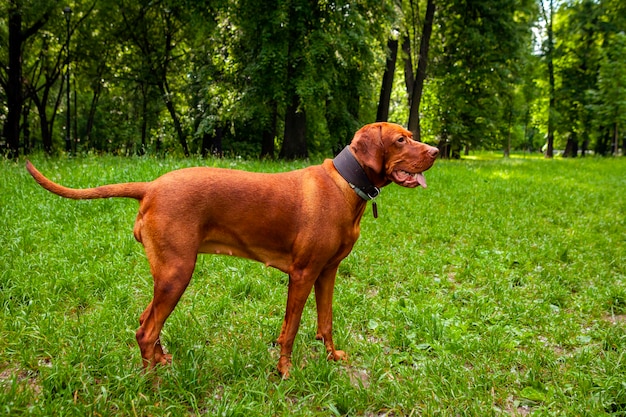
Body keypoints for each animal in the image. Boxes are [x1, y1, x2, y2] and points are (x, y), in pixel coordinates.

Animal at [26, 121, 436, 376]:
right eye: (400, 140)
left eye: (411, 135)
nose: (435, 150)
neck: (346, 185)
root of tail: (151, 186)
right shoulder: (302, 274)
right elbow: (291, 329)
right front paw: (285, 371)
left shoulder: (327, 272)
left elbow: (326, 322)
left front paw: (332, 357)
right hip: (178, 273)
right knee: (146, 330)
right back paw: (152, 386)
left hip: (167, 275)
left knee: (146, 322)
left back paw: (162, 362)